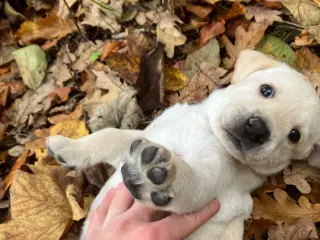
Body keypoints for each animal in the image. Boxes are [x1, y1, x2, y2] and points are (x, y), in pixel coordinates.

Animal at [46, 49, 320, 239]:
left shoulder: (213, 180)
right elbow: (110, 135)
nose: (258, 129)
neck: (210, 131)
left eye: (294, 136)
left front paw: (164, 176)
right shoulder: (144, 137)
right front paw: (66, 147)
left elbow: (192, 184)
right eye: (266, 90)